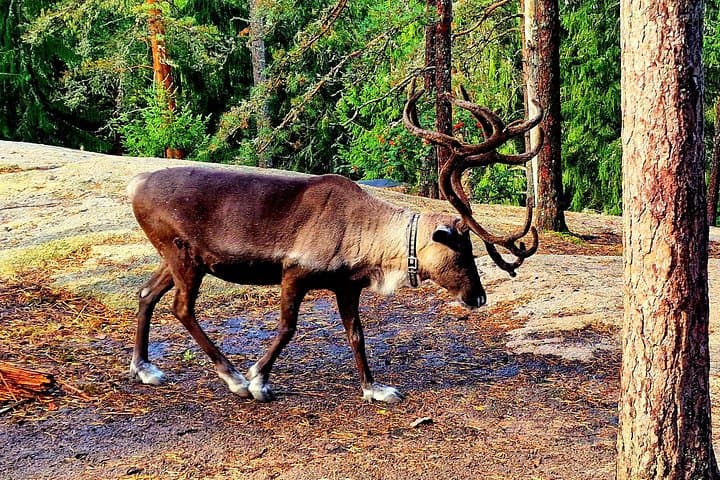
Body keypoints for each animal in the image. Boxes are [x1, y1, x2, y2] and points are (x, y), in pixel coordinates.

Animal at [127, 84, 542, 404]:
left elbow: (356, 335)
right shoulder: (294, 273)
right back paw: (234, 378)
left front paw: (374, 388)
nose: (478, 297)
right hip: (186, 258)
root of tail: (136, 184)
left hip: (173, 257)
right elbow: (287, 328)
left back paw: (145, 368)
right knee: (181, 308)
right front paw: (259, 379)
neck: (371, 238)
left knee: (147, 294)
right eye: (461, 249)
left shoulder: (347, 285)